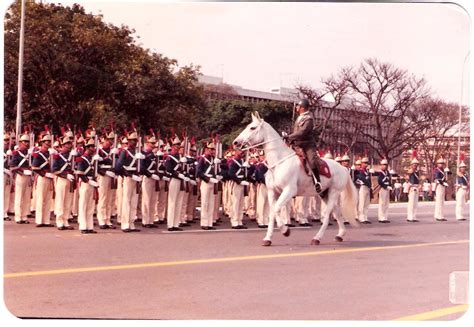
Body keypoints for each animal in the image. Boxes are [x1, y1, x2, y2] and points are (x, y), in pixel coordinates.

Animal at [233, 112, 360, 246]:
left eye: (252, 127)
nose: (236, 143)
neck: (279, 162)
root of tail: (343, 168)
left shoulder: (289, 191)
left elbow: (276, 210)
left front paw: (285, 230)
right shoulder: (272, 192)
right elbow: (273, 211)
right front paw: (268, 238)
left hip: (334, 193)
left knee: (326, 216)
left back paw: (317, 238)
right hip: (324, 194)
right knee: (338, 212)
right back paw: (340, 235)